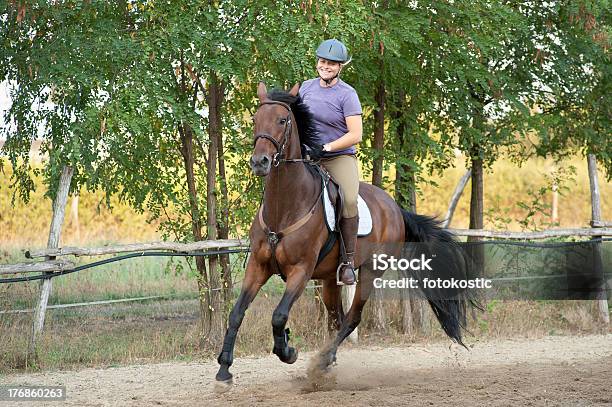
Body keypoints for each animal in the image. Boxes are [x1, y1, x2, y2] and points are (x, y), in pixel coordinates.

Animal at [215, 83, 474, 386]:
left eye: (282, 120)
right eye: (256, 120)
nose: (260, 162)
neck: (285, 207)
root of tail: (394, 208)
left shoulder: (301, 271)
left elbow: (278, 316)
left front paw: (288, 350)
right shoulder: (258, 266)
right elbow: (236, 313)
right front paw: (224, 369)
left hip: (370, 271)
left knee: (352, 318)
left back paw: (321, 361)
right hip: (329, 278)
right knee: (336, 318)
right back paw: (327, 363)